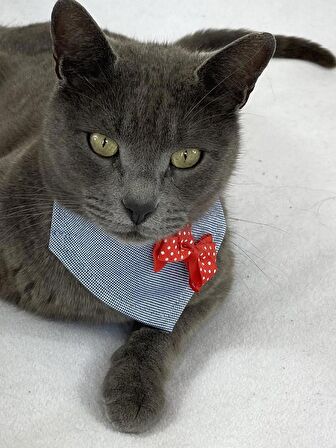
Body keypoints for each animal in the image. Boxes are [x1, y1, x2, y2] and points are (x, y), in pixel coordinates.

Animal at [0, 0, 334, 434]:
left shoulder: (217, 274)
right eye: (102, 143)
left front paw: (134, 390)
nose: (139, 206)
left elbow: (163, 331)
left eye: (186, 156)